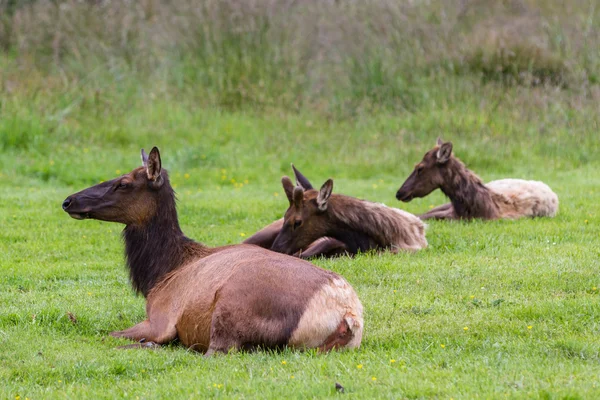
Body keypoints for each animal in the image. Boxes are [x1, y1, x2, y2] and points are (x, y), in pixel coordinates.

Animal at [61, 147, 364, 354]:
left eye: (123, 183)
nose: (68, 201)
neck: (159, 275)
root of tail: (348, 316)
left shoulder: (160, 319)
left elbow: (109, 334)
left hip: (232, 306)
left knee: (214, 351)